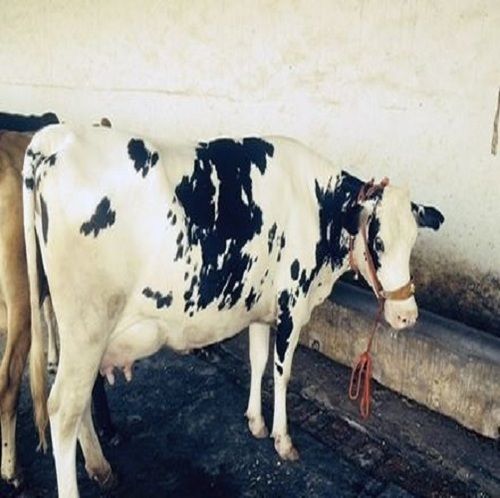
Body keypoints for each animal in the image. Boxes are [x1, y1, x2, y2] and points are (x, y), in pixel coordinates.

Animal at [24, 122, 446, 496]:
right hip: (87, 330)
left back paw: (101, 467)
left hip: (72, 334)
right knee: (62, 410)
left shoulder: (258, 306)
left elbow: (257, 361)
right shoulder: (292, 304)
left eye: (413, 242)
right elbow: (281, 372)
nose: (407, 315)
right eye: (378, 241)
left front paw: (255, 422)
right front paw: (282, 438)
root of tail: (54, 138)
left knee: (78, 404)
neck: (315, 202)